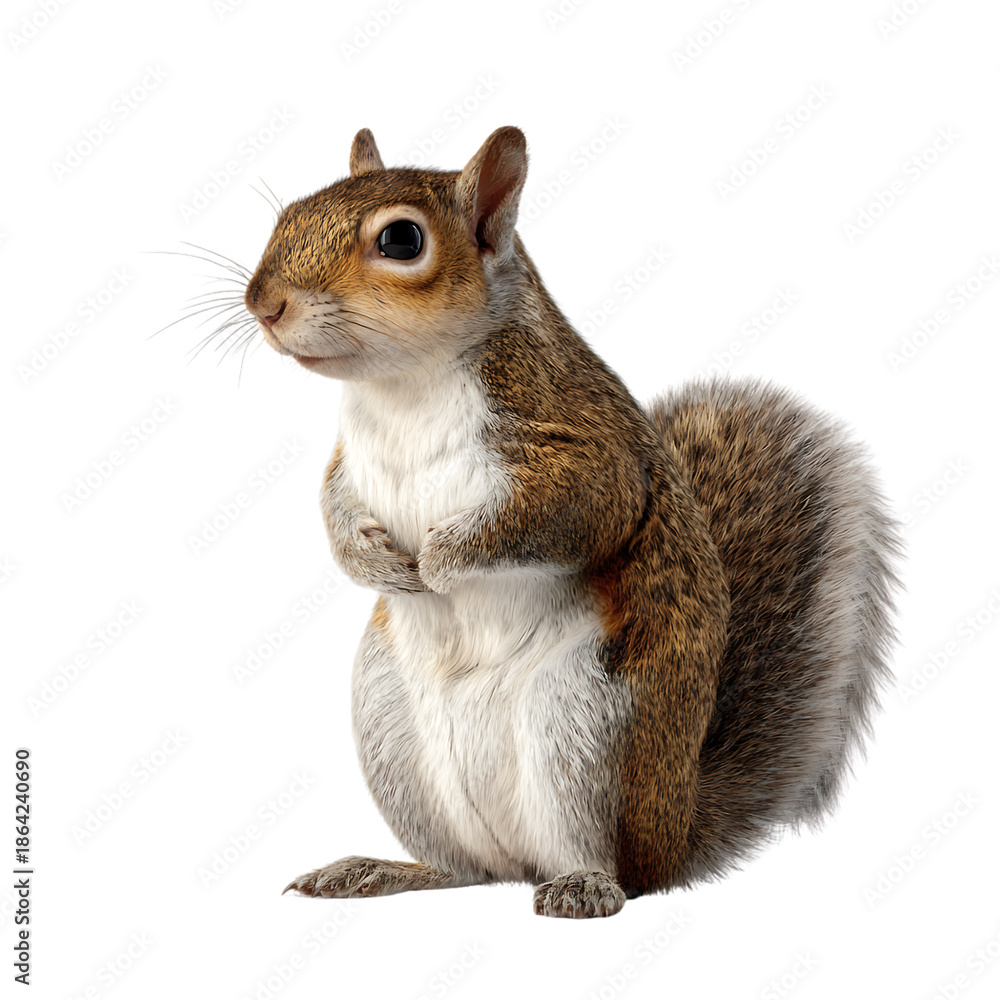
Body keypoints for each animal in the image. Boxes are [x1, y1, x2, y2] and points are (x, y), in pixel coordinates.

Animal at [242, 126, 901, 918]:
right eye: (290, 212)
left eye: (402, 240)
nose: (263, 303)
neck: (401, 387)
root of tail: (673, 829)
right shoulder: (348, 464)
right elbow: (334, 507)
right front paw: (375, 562)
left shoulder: (584, 449)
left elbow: (567, 511)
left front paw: (440, 559)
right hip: (391, 731)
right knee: (467, 868)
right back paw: (383, 870)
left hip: (584, 727)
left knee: (613, 869)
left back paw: (584, 885)